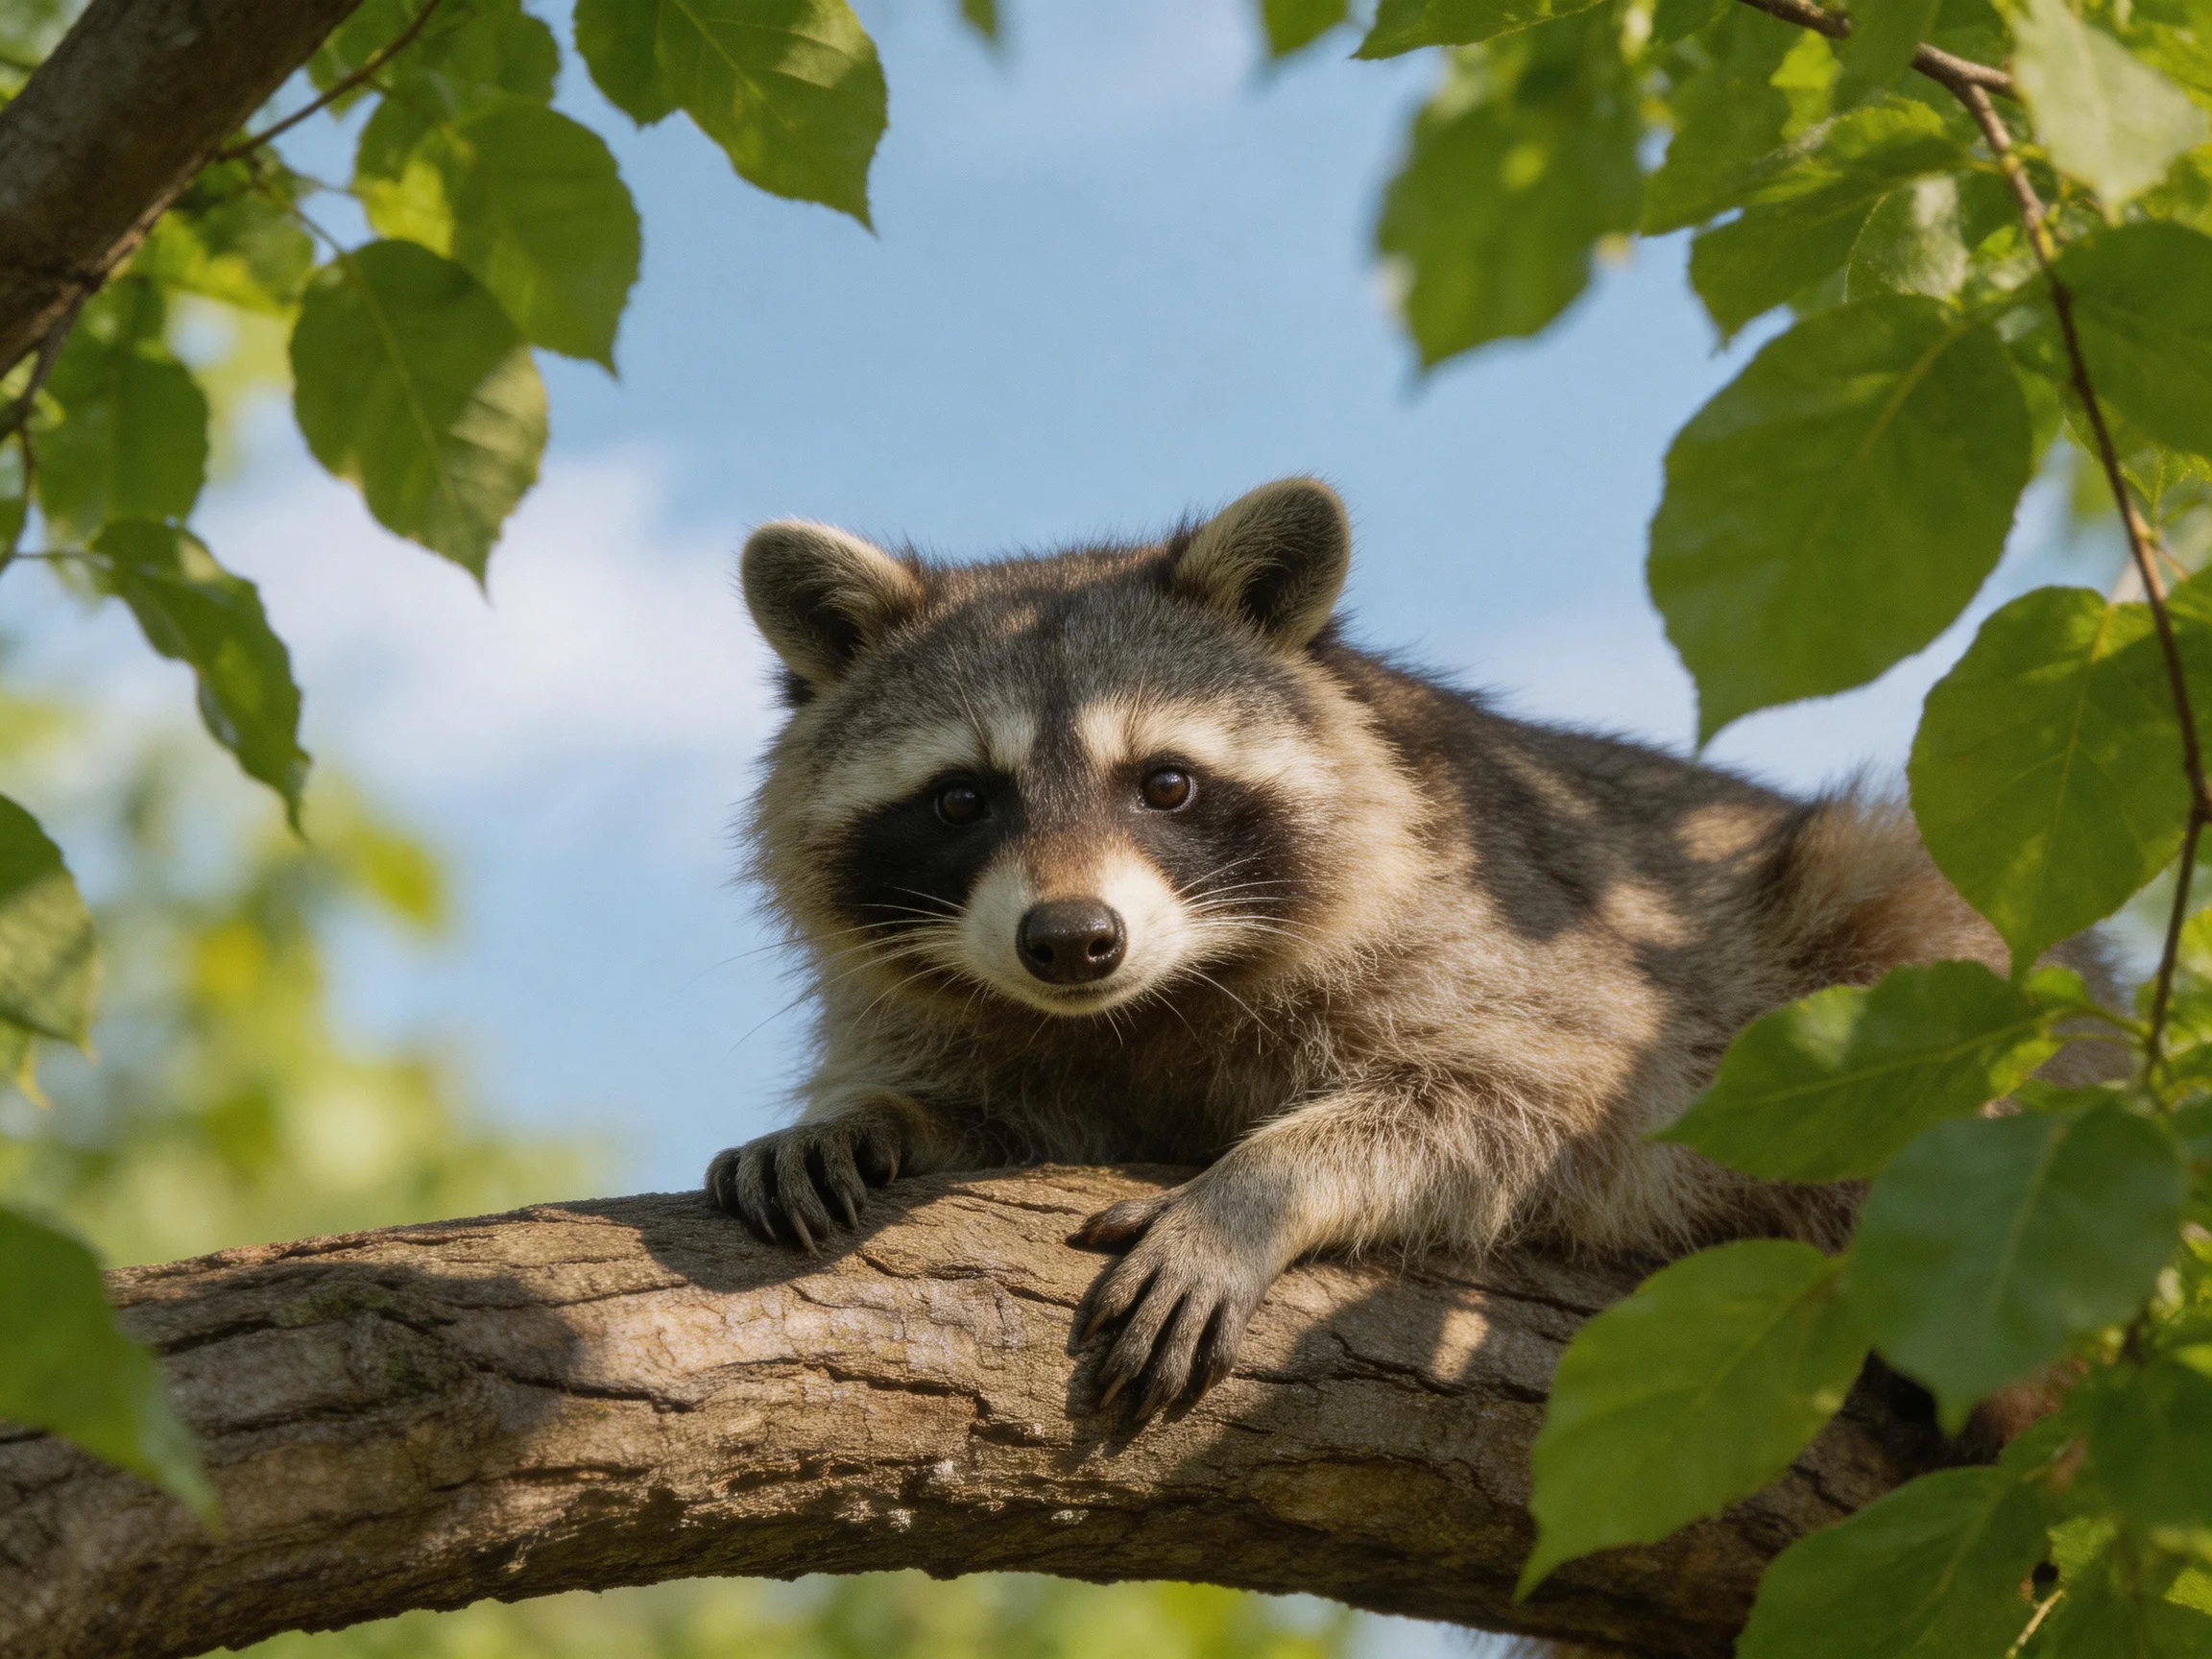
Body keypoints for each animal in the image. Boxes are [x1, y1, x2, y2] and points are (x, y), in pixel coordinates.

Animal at [707, 476, 2027, 1425]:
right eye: (960, 801)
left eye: (1166, 785)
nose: (1073, 941)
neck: (1144, 1002)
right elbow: (998, 1105)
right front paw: (881, 1115)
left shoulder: (1513, 942)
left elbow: (1529, 1093)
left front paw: (1257, 1186)